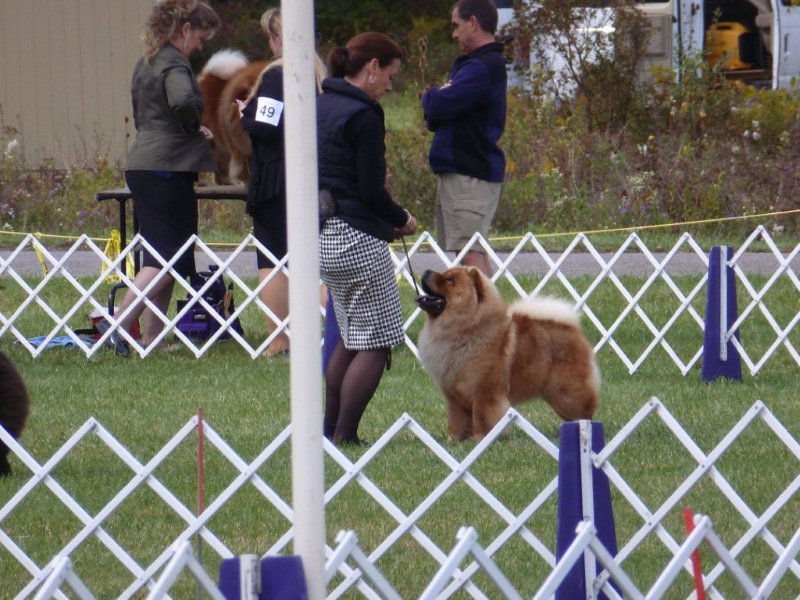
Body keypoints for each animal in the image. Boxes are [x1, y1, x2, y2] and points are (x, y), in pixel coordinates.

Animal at [416, 268, 596, 440]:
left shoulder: (485, 391)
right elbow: (456, 420)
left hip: (565, 392)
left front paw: (480, 439)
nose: (426, 271)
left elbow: (482, 417)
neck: (465, 327)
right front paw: (453, 440)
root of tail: (571, 327)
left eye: (450, 280)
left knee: (584, 411)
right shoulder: (454, 396)